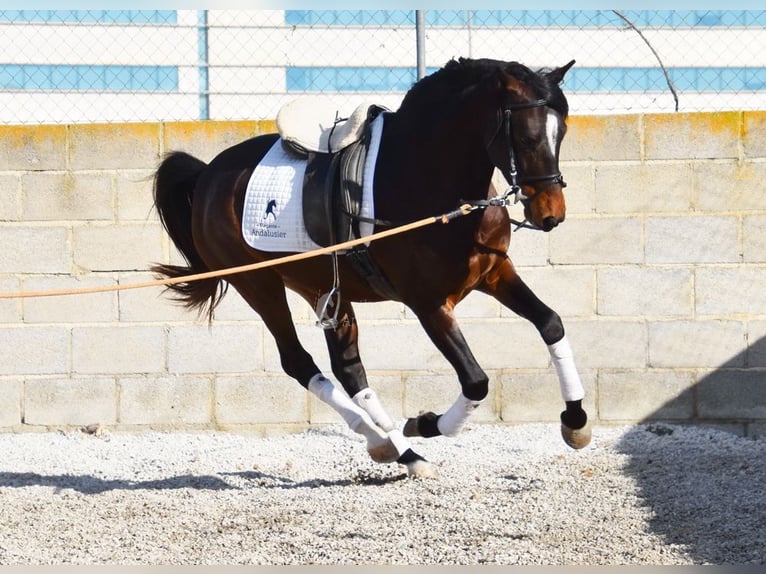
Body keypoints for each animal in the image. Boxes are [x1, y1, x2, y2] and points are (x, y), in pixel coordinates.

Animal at [153, 57, 592, 482]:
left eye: (562, 133)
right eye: (528, 137)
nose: (551, 215)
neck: (431, 181)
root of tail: (208, 174)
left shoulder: (495, 273)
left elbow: (550, 323)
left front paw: (575, 422)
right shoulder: (429, 304)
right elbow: (476, 380)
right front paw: (426, 424)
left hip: (323, 290)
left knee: (349, 370)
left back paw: (396, 449)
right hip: (258, 284)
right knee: (299, 361)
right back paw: (396, 445)